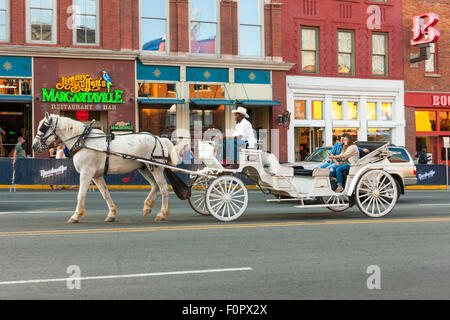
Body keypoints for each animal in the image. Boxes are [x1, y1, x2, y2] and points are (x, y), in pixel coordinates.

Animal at [31, 114, 184, 224]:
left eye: (43, 128)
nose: (34, 145)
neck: (83, 141)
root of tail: (160, 138)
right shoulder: (96, 175)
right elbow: (105, 194)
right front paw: (112, 214)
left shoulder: (86, 173)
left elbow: (81, 194)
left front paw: (75, 216)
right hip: (145, 168)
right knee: (155, 186)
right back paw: (147, 207)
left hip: (156, 168)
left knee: (163, 188)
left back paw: (162, 214)